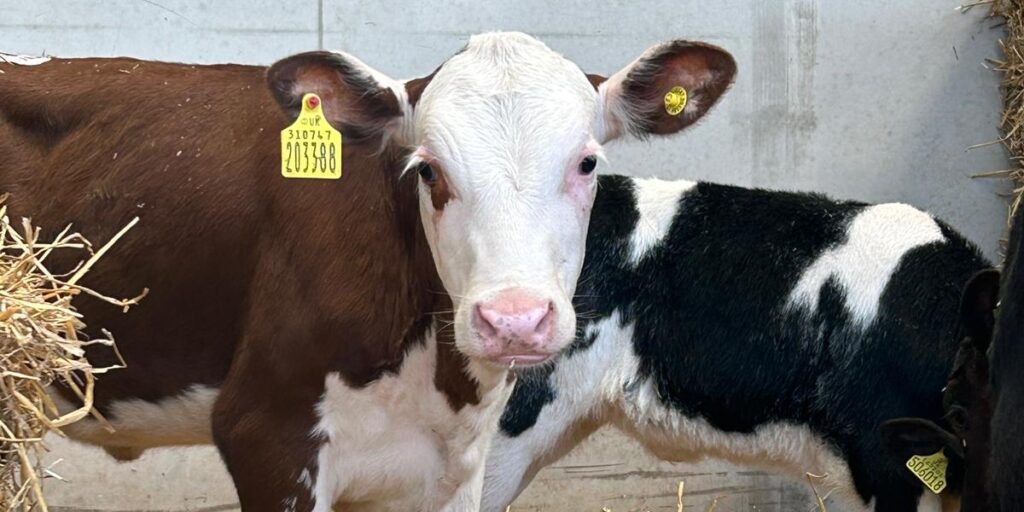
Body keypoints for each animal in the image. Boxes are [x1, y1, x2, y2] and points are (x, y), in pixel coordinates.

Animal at [0, 33, 735, 511]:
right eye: (429, 171)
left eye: (586, 163)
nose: (514, 320)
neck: (436, 381)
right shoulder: (266, 434)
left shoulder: (456, 468)